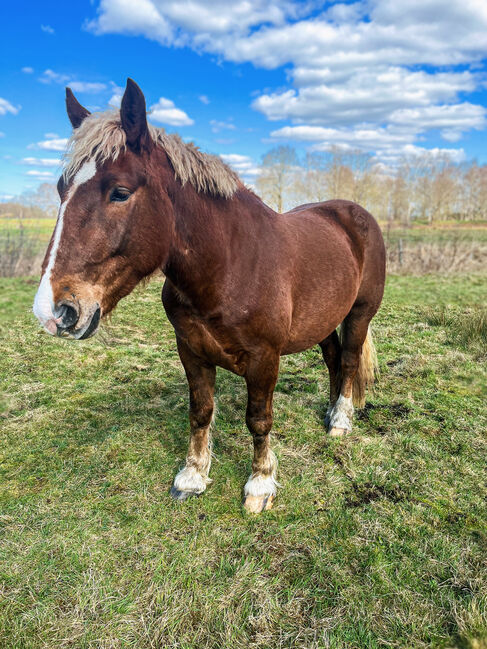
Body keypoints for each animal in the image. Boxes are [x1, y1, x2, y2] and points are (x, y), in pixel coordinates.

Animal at [33, 78, 386, 512]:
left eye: (119, 192)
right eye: (60, 189)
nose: (54, 311)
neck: (228, 266)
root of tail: (356, 214)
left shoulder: (264, 358)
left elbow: (259, 418)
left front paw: (260, 483)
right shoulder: (191, 350)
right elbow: (200, 411)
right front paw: (193, 475)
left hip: (359, 313)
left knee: (350, 360)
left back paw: (340, 419)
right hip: (322, 320)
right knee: (335, 359)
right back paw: (333, 409)